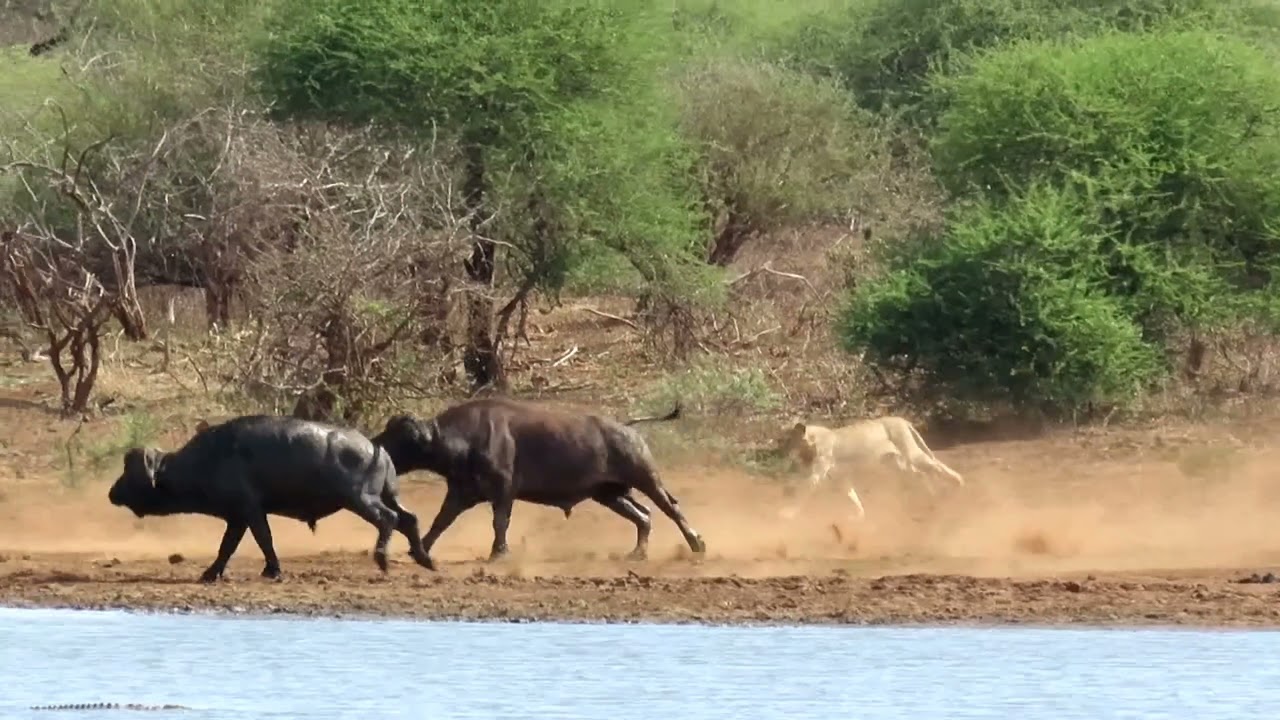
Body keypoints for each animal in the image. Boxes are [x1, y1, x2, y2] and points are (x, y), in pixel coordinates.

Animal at [107, 414, 435, 582]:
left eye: (129, 473)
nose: (112, 493)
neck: (205, 460)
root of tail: (376, 447)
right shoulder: (237, 516)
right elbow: (227, 547)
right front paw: (213, 572)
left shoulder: (249, 511)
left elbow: (262, 540)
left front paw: (272, 570)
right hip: (386, 495)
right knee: (409, 518)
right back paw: (424, 559)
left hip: (360, 500)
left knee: (389, 519)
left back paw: (383, 559)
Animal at [370, 397, 707, 567]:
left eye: (402, 437)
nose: (376, 445)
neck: (464, 438)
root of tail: (628, 428)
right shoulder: (460, 493)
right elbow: (440, 521)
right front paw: (419, 549)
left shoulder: (504, 492)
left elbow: (500, 523)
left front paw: (498, 553)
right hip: (609, 494)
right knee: (644, 515)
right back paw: (637, 553)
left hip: (646, 479)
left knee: (671, 508)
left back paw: (696, 543)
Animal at [776, 416, 965, 520]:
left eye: (790, 440)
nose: (782, 450)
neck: (812, 441)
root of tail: (902, 420)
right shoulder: (839, 478)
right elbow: (852, 496)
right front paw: (859, 515)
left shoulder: (817, 473)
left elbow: (803, 492)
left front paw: (788, 513)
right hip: (895, 463)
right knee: (920, 474)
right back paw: (932, 500)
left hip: (909, 452)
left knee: (935, 465)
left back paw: (957, 482)